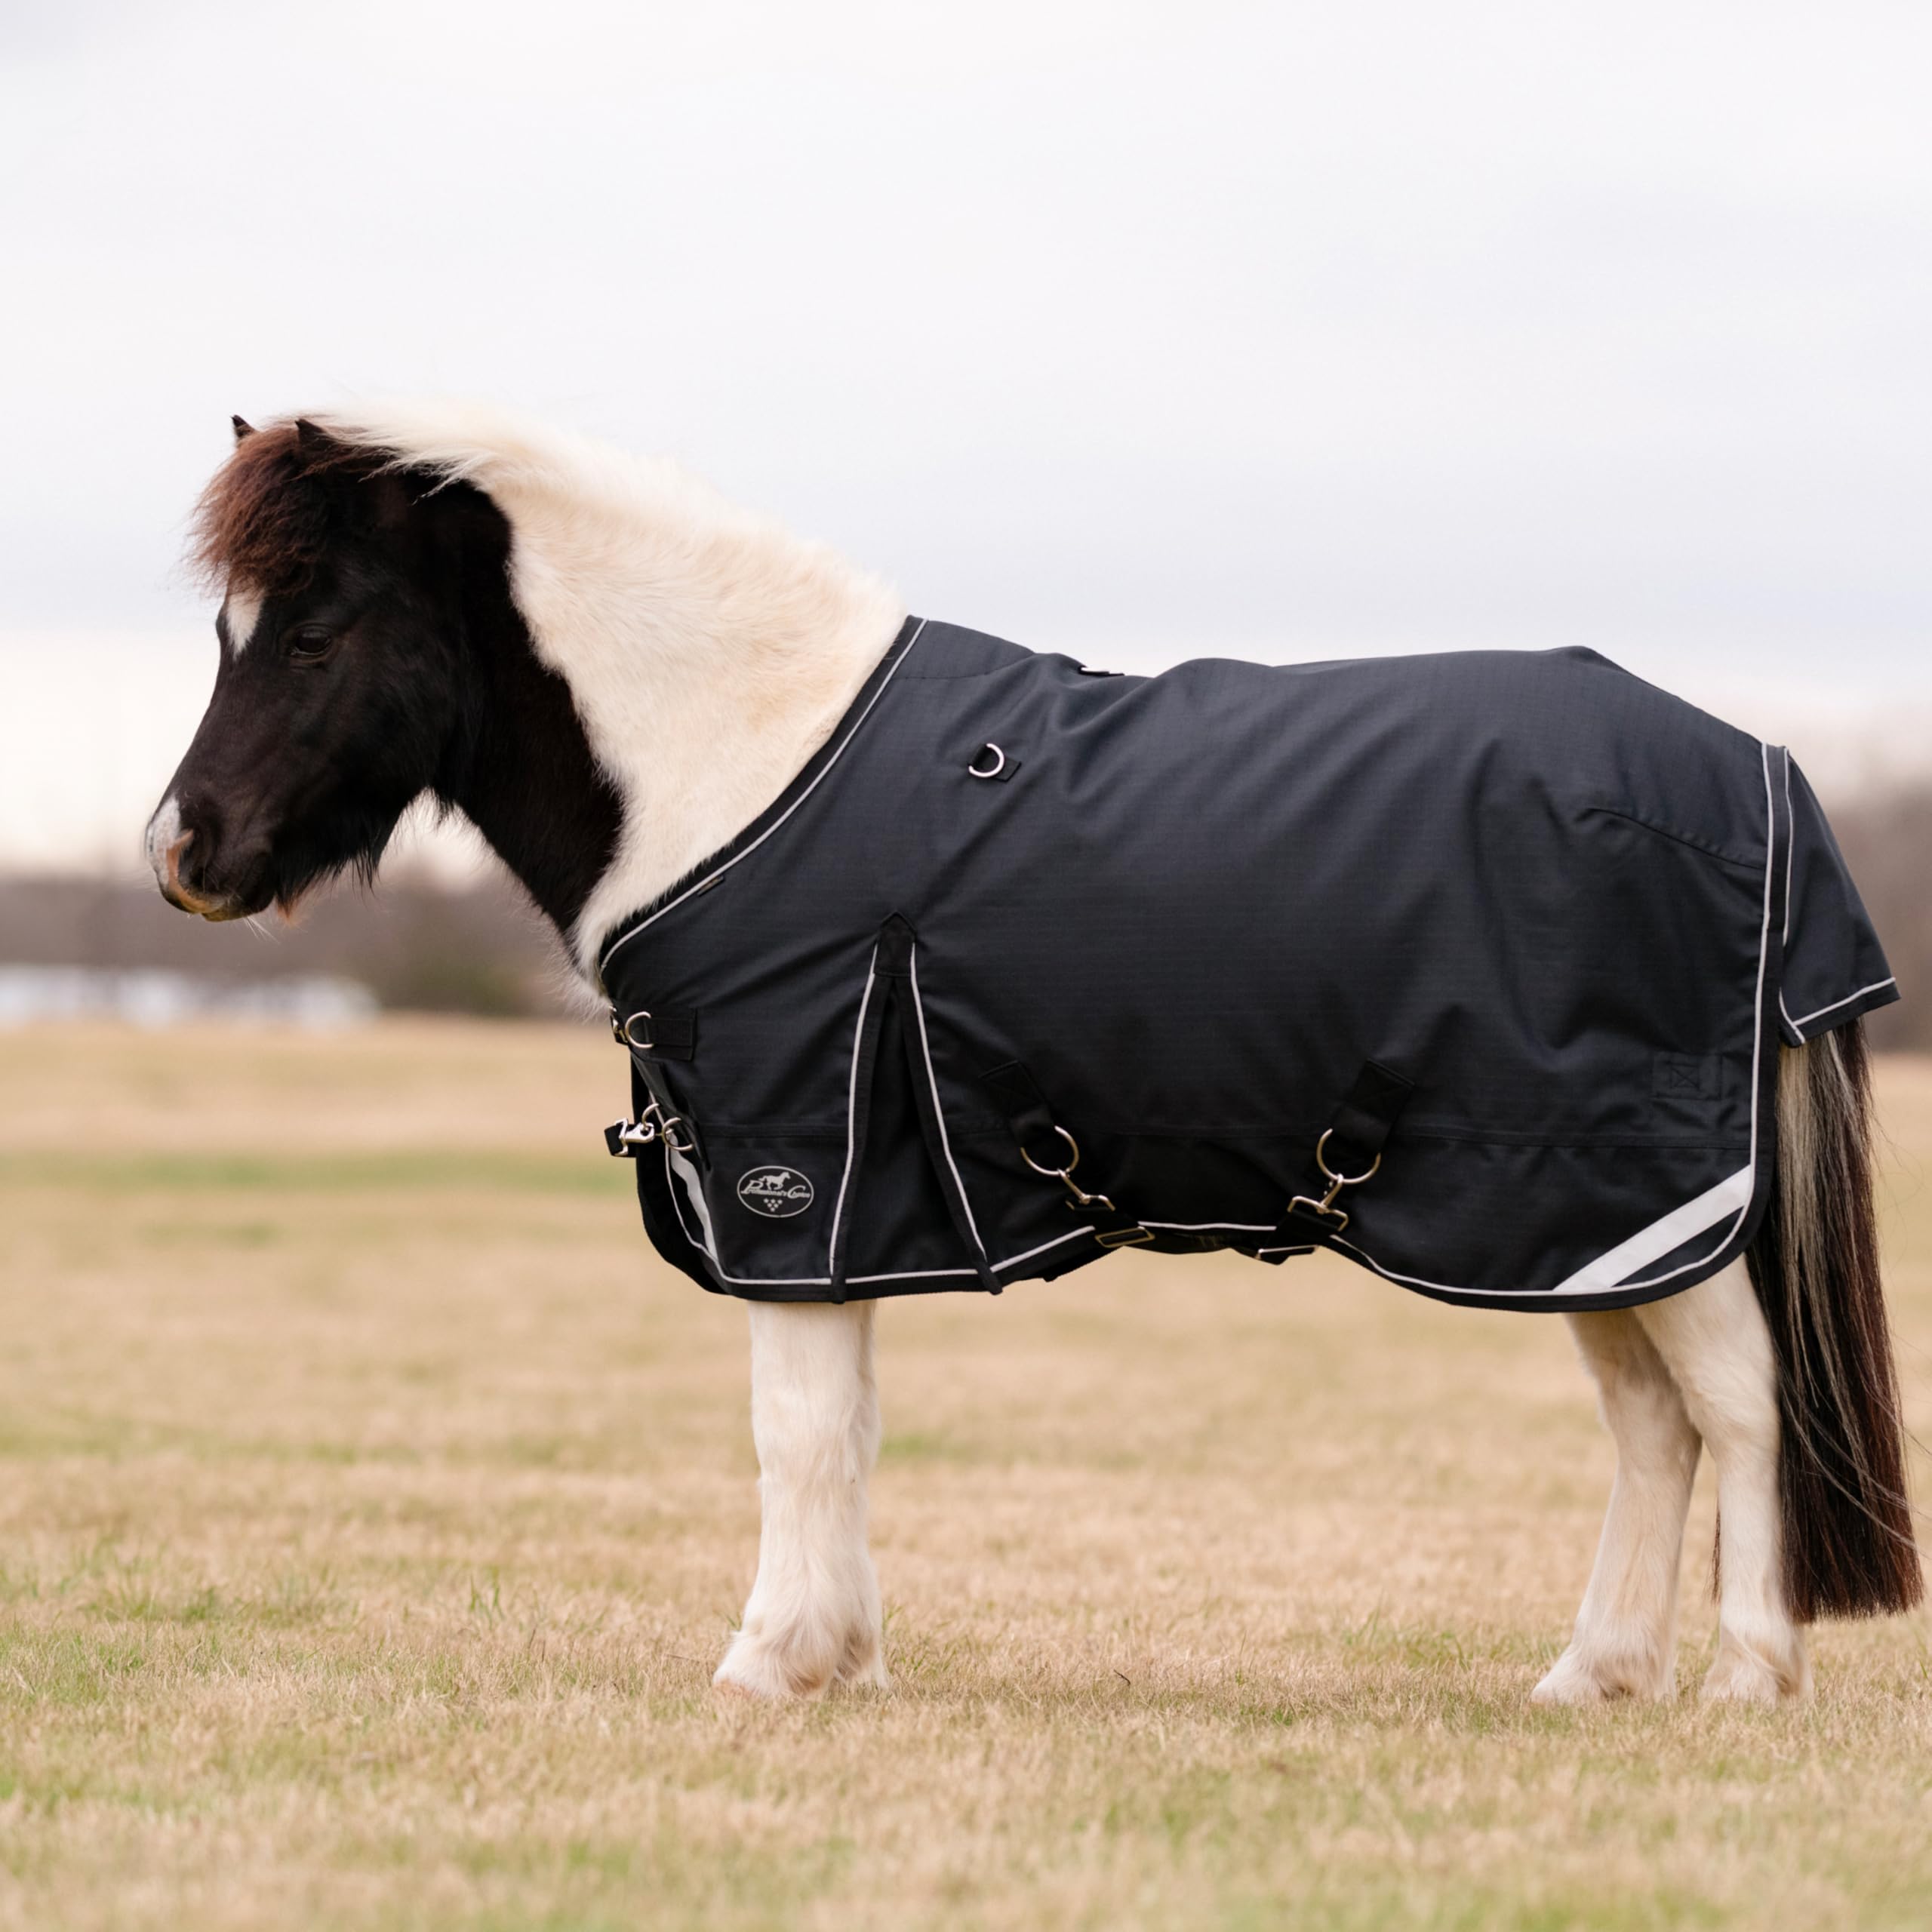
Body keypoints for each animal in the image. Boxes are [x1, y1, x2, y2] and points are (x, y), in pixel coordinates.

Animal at [147, 403, 1920, 1704]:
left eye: (313, 631)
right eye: (234, 628)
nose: (184, 848)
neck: (743, 755)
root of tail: (1756, 767)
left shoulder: (797, 1176)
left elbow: (794, 1428)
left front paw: (765, 1665)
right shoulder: (845, 1215)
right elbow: (849, 1429)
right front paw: (842, 1663)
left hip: (1631, 1199)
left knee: (1741, 1408)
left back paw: (1745, 1678)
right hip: (1565, 1228)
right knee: (1653, 1426)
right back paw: (1591, 1676)